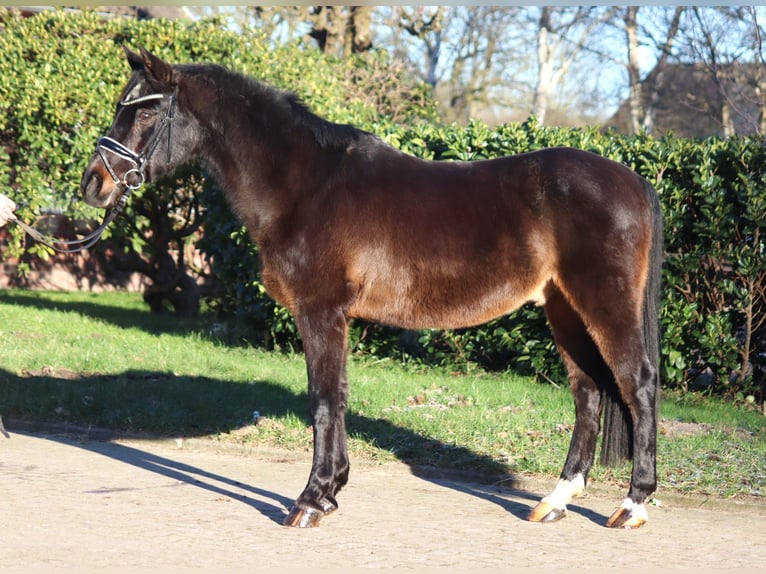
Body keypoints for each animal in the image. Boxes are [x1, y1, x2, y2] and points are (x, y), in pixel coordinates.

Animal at [81, 47, 664, 532]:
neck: (305, 186)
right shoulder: (336, 318)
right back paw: (555, 501)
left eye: (147, 113)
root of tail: (634, 181)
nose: (93, 184)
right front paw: (331, 491)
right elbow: (337, 398)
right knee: (588, 393)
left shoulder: (319, 312)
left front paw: (310, 501)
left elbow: (321, 401)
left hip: (603, 305)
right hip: (563, 309)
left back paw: (632, 505)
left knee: (637, 385)